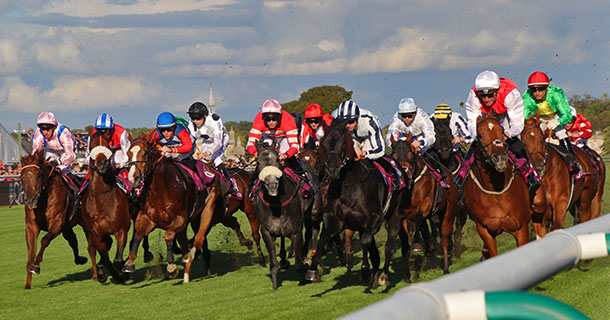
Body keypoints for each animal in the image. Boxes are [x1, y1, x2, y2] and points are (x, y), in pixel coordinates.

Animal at [20, 150, 87, 290]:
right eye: (21, 178)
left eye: (38, 175)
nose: (30, 201)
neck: (43, 199)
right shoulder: (31, 226)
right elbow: (30, 253)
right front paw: (28, 284)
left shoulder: (57, 223)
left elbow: (45, 240)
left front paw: (36, 266)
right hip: (67, 227)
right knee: (72, 240)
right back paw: (80, 259)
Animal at [79, 131, 131, 284]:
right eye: (91, 145)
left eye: (108, 145)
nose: (102, 163)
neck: (101, 201)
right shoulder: (96, 234)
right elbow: (106, 258)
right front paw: (106, 274)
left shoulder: (121, 229)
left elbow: (117, 260)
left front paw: (123, 273)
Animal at [304, 119, 408, 288]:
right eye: (323, 144)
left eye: (342, 142)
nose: (332, 169)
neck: (348, 183)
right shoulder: (337, 221)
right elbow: (322, 239)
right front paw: (312, 269)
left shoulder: (375, 218)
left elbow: (365, 241)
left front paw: (365, 272)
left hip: (395, 214)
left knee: (389, 246)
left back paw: (383, 276)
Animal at [390, 134, 456, 278]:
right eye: (395, 156)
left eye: (410, 154)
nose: (405, 173)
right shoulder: (403, 215)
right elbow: (406, 242)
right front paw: (407, 275)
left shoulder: (425, 207)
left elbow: (419, 219)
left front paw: (417, 244)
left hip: (448, 212)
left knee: (444, 237)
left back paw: (446, 267)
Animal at [464, 114, 528, 258]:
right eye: (480, 135)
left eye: (502, 130)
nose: (500, 158)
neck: (496, 189)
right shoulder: (485, 231)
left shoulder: (521, 227)